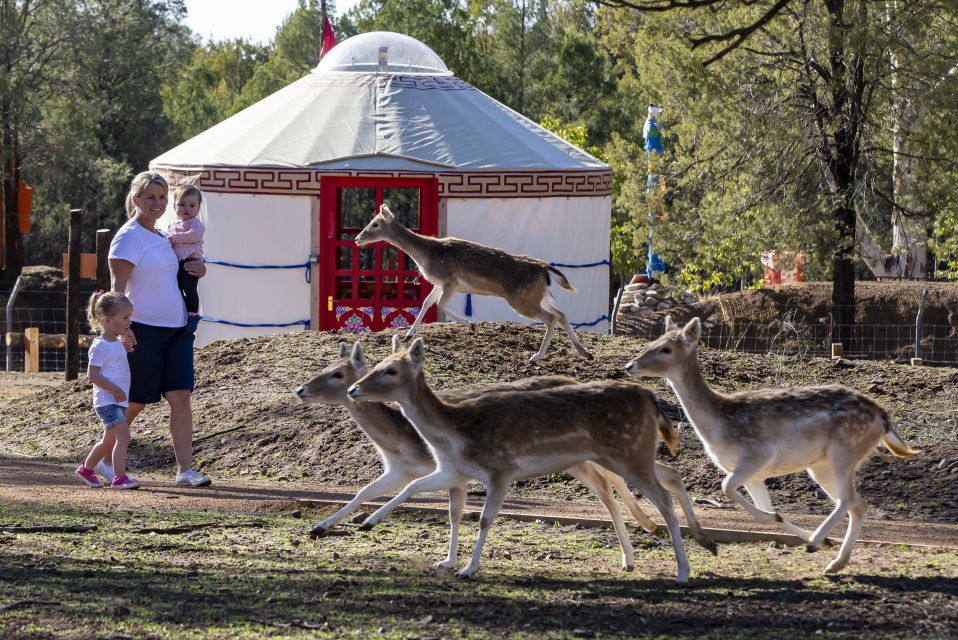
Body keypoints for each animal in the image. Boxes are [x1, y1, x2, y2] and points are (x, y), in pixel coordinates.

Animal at [296, 338, 716, 572]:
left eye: (337, 374)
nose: (301, 389)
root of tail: (650, 397)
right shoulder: (433, 470)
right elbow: (378, 491)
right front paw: (332, 526)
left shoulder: (486, 471)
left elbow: (471, 516)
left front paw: (464, 567)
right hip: (608, 455)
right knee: (646, 481)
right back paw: (649, 551)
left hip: (614, 455)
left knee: (645, 490)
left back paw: (677, 562)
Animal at [352, 206, 592, 364]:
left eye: (375, 224)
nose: (357, 238)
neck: (426, 255)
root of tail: (545, 270)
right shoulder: (439, 283)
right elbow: (426, 303)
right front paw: (409, 334)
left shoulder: (450, 282)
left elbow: (439, 305)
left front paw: (471, 324)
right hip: (538, 297)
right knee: (561, 314)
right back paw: (584, 352)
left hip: (522, 302)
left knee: (551, 318)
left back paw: (536, 356)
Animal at [624, 318, 924, 572]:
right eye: (653, 341)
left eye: (666, 348)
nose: (630, 365)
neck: (718, 425)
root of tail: (883, 418)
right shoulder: (753, 475)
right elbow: (758, 505)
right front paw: (776, 518)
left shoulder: (758, 454)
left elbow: (725, 486)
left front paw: (786, 523)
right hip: (821, 465)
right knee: (858, 503)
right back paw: (835, 563)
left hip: (845, 451)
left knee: (849, 499)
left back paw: (816, 543)